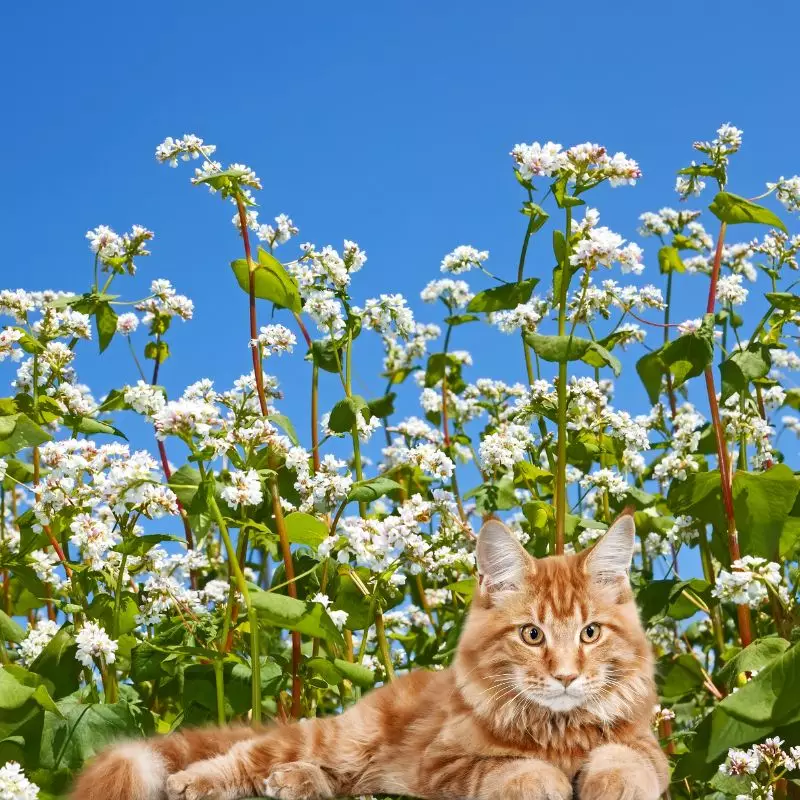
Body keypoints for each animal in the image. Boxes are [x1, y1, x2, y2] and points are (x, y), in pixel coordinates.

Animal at [72, 512, 668, 800]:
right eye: (532, 635)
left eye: (590, 633)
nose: (566, 676)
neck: (557, 731)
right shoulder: (444, 765)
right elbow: (513, 771)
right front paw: (544, 781)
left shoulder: (646, 748)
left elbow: (626, 762)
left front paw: (610, 784)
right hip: (339, 737)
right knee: (244, 756)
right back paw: (199, 783)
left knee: (343, 782)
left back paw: (295, 783)